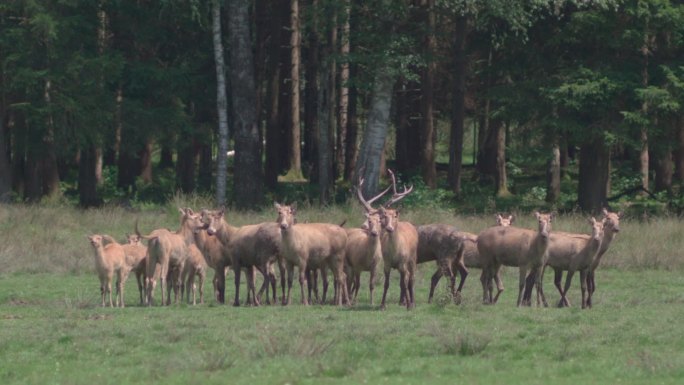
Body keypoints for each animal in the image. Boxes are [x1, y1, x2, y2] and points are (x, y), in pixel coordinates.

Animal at [376, 168, 420, 308]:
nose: (389, 228)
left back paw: (412, 302)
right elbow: (386, 283)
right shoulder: (387, 263)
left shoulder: (403, 262)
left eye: (395, 216)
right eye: (384, 216)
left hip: (413, 257)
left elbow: (405, 283)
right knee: (405, 279)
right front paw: (382, 305)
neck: (395, 253)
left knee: (412, 278)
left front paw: (409, 305)